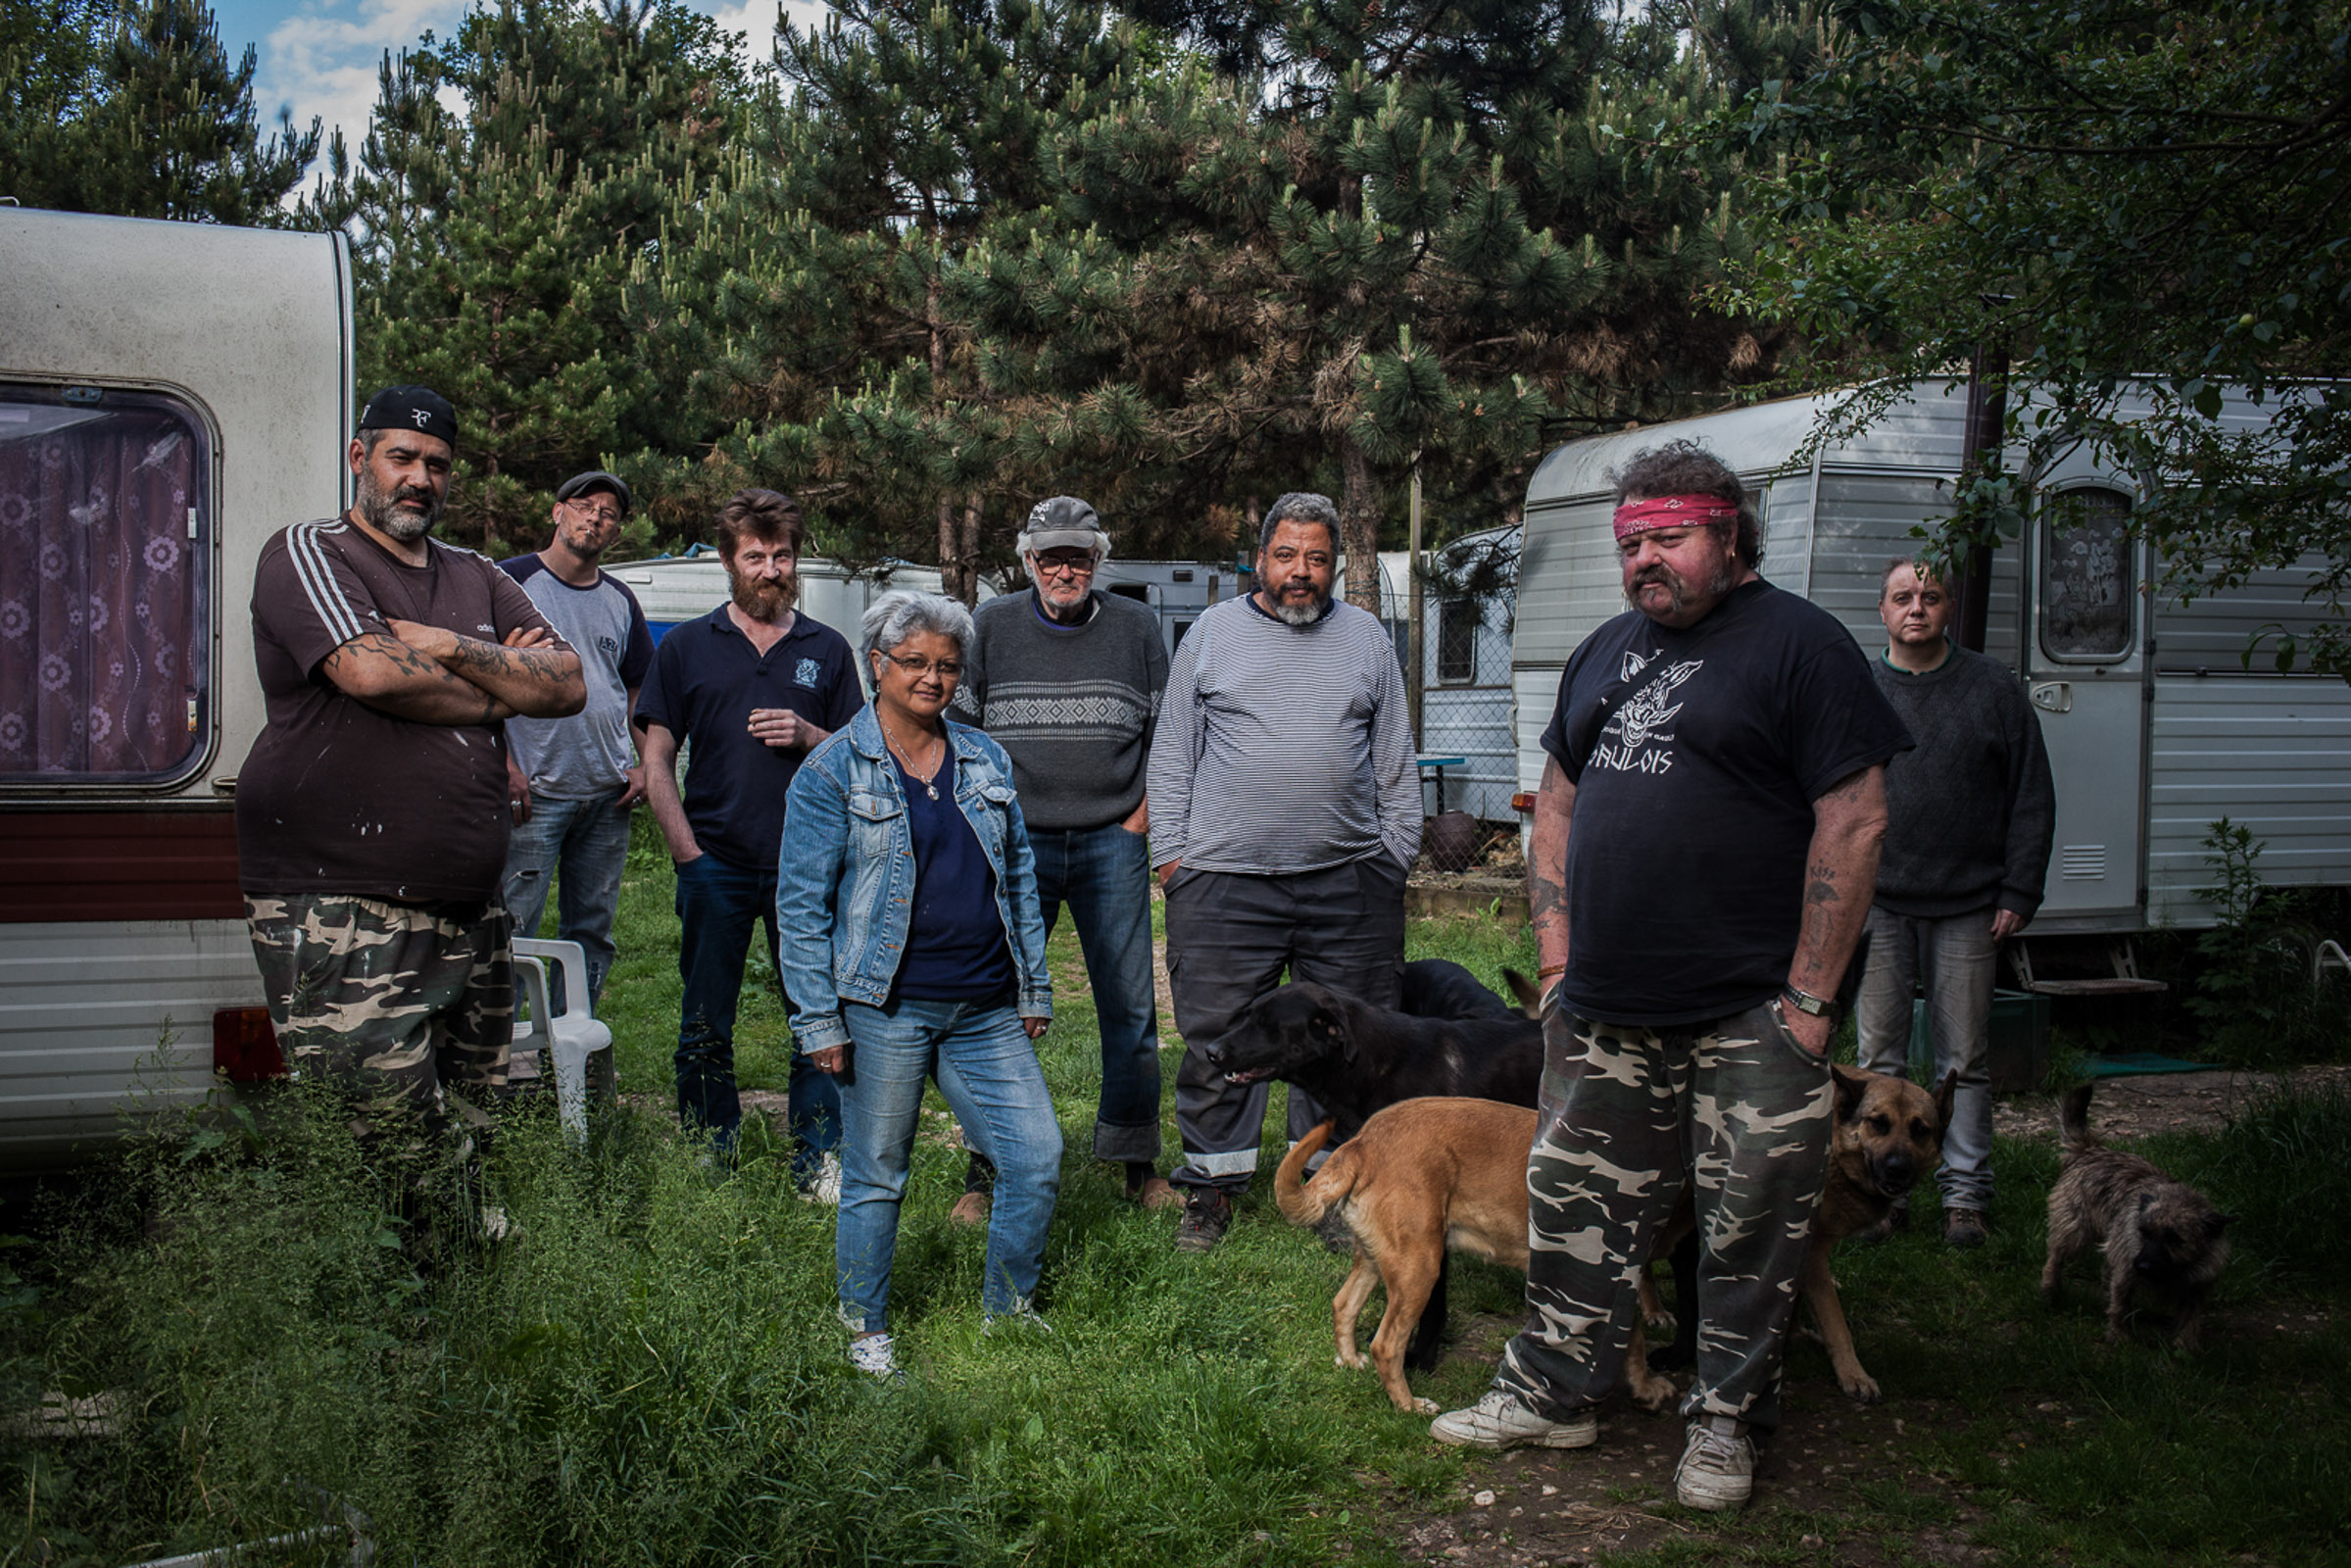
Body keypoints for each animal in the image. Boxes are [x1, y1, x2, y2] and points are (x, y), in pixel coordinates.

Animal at [2031, 1091, 2229, 1353]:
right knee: (2055, 1259)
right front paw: (2119, 1337)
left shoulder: (2196, 1286)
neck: (2171, 1272)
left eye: (2175, 1239)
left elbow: (2191, 1318)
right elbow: (2120, 1306)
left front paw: (2185, 1347)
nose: (2142, 1265)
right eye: (2144, 1232)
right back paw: (2050, 1291)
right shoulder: (2126, 1269)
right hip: (2074, 1232)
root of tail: (2091, 1149)